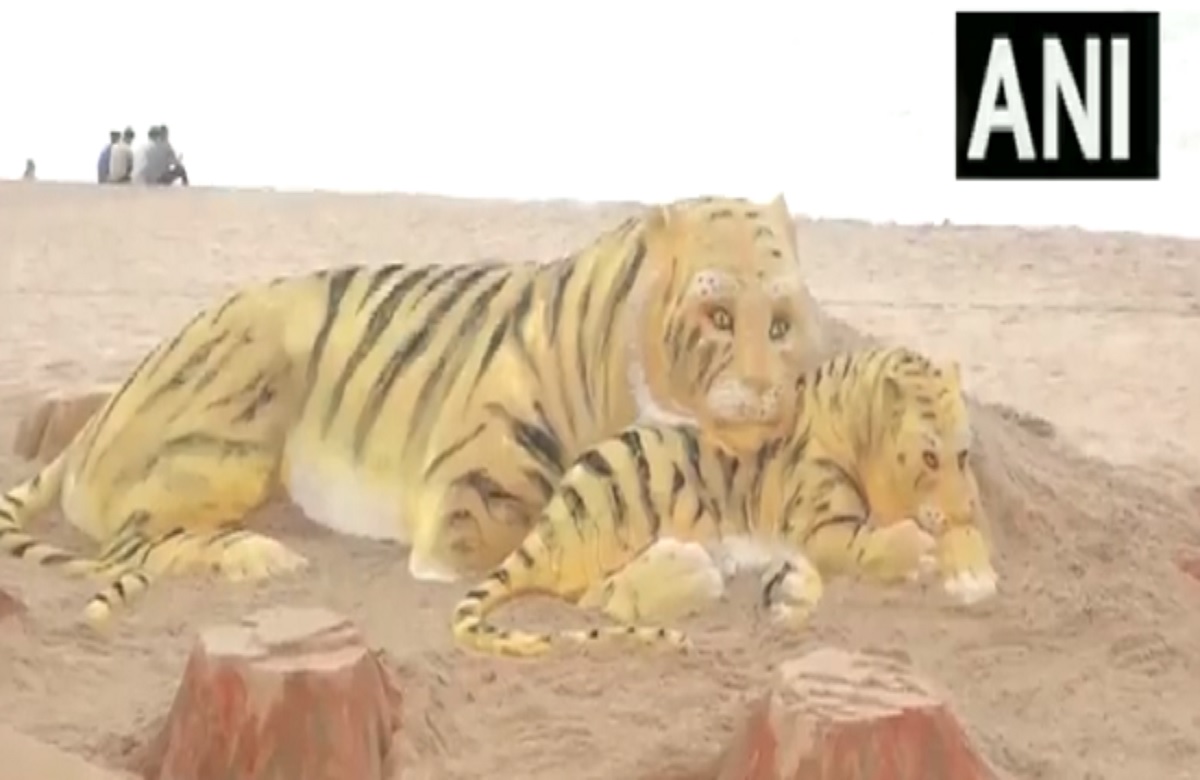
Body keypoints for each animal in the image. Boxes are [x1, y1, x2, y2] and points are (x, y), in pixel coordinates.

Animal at [0, 194, 824, 625]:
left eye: (783, 324)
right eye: (720, 317)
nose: (767, 398)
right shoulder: (472, 517)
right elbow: (572, 552)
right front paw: (674, 575)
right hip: (233, 423)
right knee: (127, 544)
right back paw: (255, 555)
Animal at [451, 345, 1000, 658]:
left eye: (963, 453)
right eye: (928, 457)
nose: (967, 508)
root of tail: (548, 522)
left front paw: (972, 566)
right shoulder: (823, 526)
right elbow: (866, 543)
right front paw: (922, 550)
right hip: (628, 492)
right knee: (595, 596)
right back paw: (693, 572)